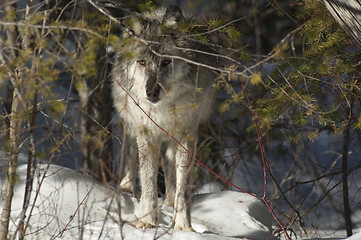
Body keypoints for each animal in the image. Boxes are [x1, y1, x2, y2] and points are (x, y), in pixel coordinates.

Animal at [111, 5, 218, 231]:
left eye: (166, 62)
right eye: (142, 62)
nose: (151, 92)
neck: (164, 108)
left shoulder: (187, 134)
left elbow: (183, 186)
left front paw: (183, 225)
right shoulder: (147, 132)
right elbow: (148, 180)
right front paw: (147, 220)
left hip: (171, 138)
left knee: (170, 171)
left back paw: (168, 202)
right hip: (132, 126)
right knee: (131, 156)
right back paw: (126, 188)